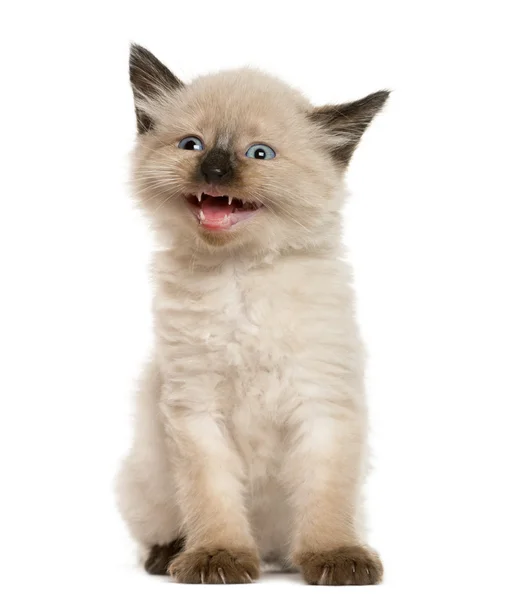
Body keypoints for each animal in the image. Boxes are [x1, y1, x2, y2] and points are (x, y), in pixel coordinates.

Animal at [117, 43, 388, 584]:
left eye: (259, 154)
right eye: (192, 145)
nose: (215, 171)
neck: (239, 273)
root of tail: (269, 550)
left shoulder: (323, 404)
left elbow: (326, 496)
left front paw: (334, 557)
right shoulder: (196, 409)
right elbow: (211, 496)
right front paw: (217, 557)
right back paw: (171, 554)